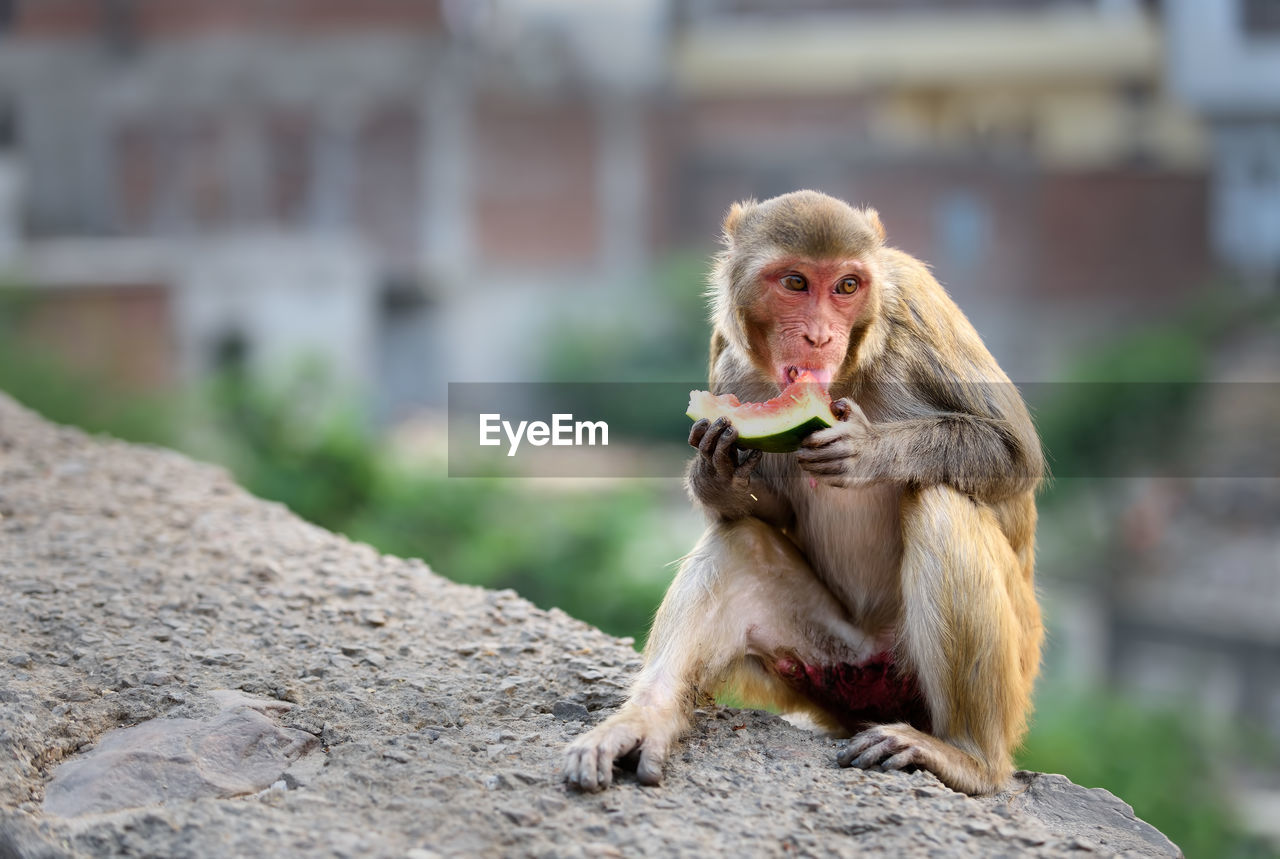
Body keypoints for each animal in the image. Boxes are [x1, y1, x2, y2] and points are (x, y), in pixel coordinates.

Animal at [565, 192, 1044, 798]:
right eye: (795, 283)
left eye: (847, 286)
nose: (819, 336)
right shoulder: (726, 357)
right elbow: (766, 510)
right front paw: (715, 474)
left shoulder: (918, 304)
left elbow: (1014, 453)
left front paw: (870, 451)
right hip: (829, 665)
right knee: (739, 544)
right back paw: (643, 719)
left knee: (942, 504)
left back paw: (965, 756)